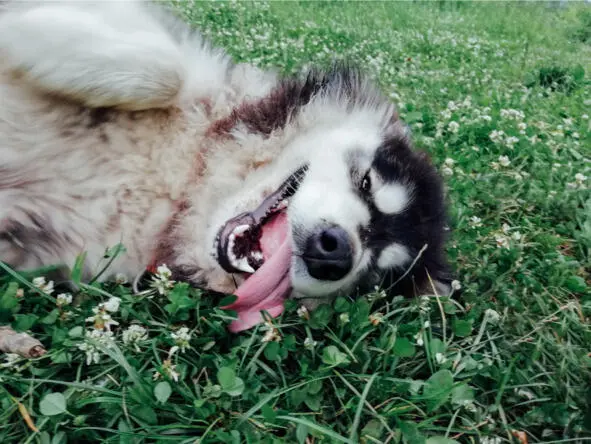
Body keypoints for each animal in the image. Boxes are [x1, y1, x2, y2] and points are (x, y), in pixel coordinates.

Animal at [0, 0, 450, 332]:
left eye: (374, 272)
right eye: (366, 182)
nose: (335, 253)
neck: (184, 183)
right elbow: (164, 70)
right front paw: (25, 31)